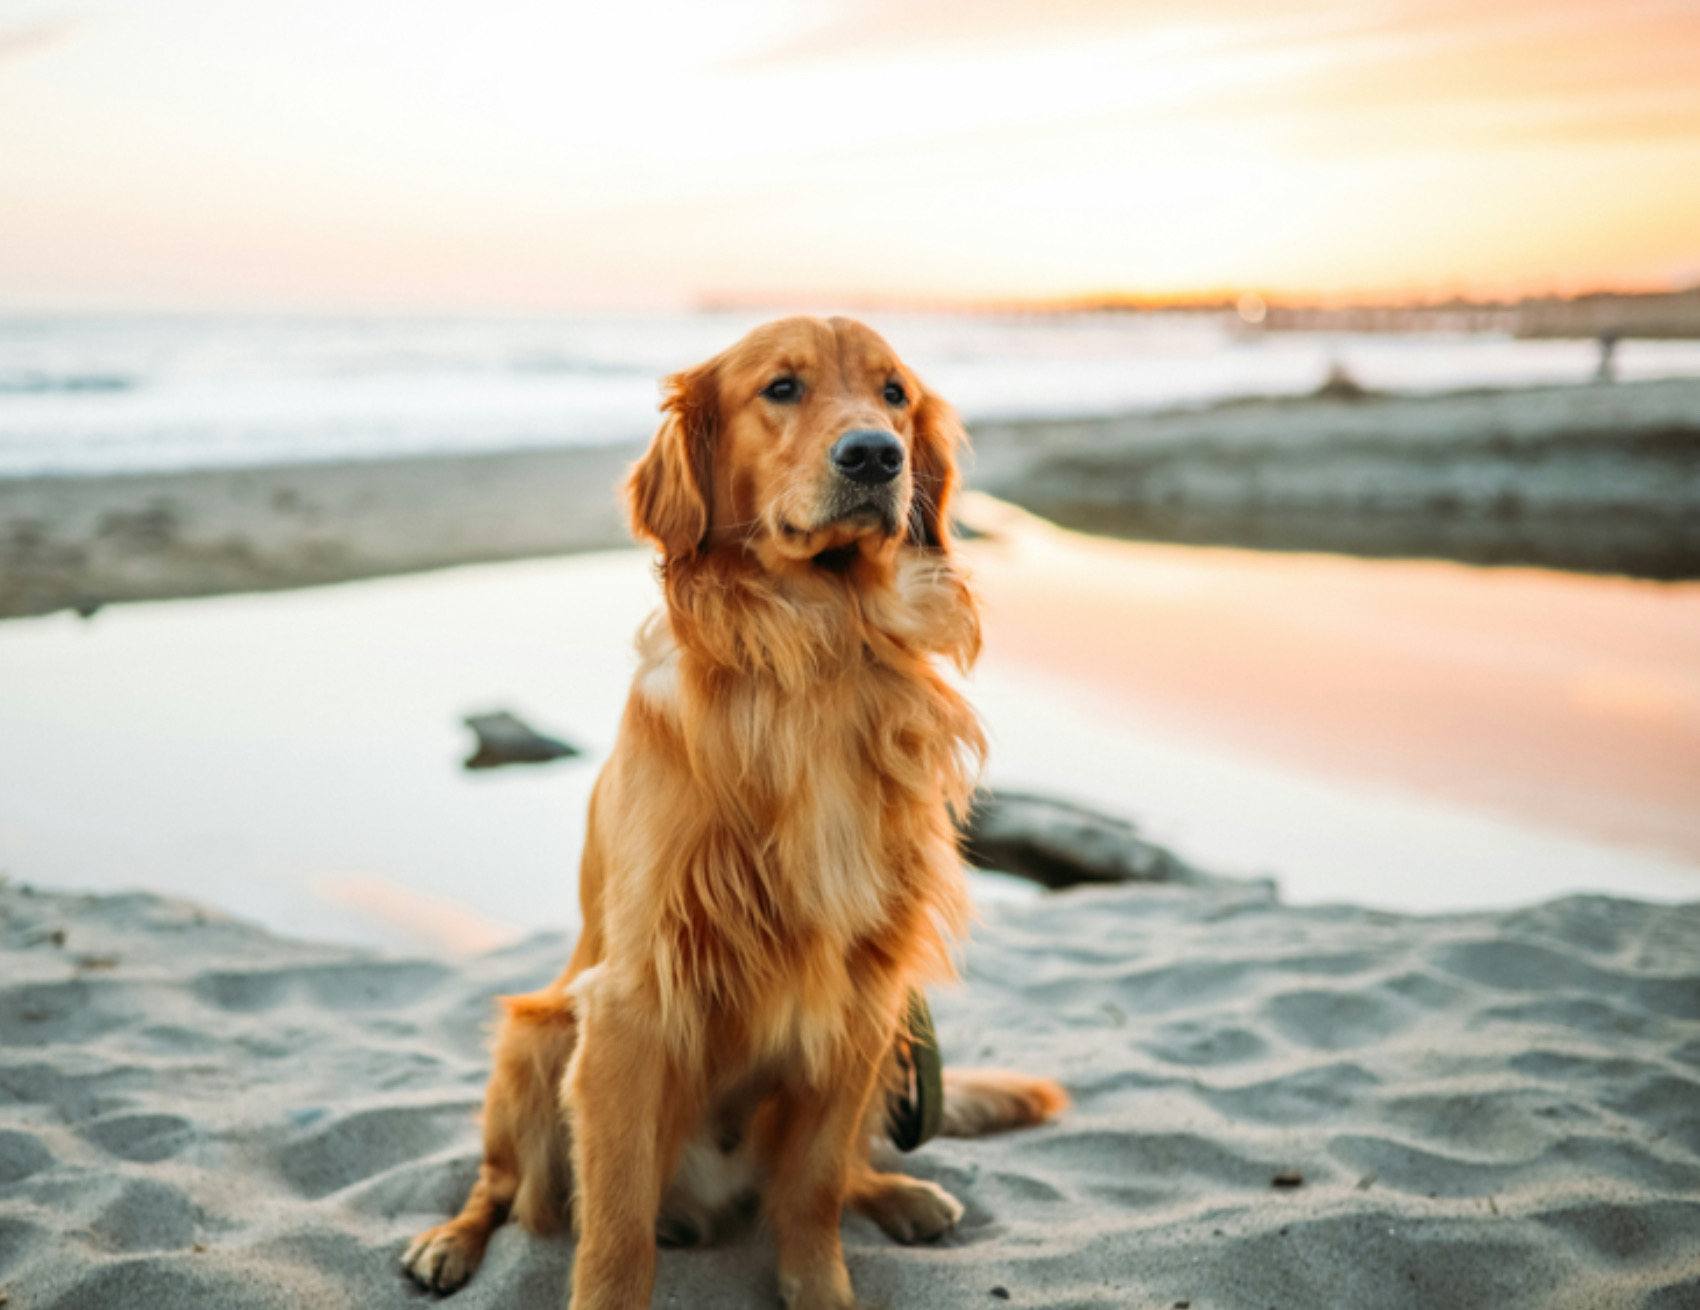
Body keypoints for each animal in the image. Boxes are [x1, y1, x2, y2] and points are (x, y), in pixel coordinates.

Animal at [401, 317, 1060, 1310]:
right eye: (781, 388)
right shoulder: (632, 1002)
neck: (820, 648)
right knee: (501, 1186)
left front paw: (822, 1288)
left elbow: (815, 1188)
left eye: (896, 394)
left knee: (836, 1173)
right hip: (534, 1040)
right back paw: (450, 1241)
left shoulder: (864, 993)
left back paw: (899, 1193)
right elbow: (616, 1228)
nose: (876, 454)